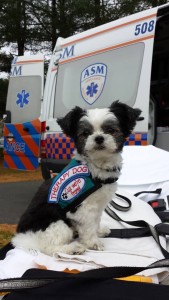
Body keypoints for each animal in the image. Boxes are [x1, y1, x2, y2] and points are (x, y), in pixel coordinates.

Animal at [11, 101, 141, 255]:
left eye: (110, 130)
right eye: (85, 133)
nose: (99, 138)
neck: (95, 168)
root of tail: (23, 237)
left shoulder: (98, 205)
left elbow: (96, 221)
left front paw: (99, 232)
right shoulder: (84, 208)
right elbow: (89, 226)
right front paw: (93, 242)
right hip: (57, 224)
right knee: (48, 248)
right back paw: (72, 248)